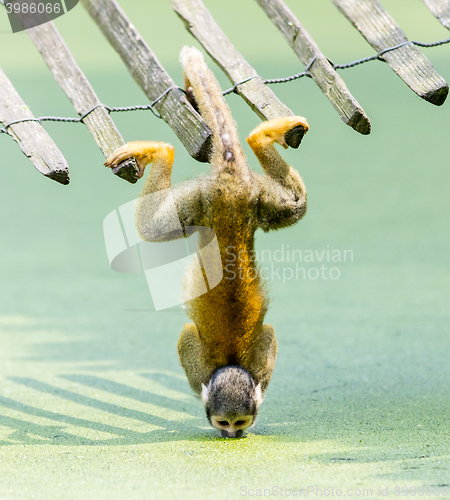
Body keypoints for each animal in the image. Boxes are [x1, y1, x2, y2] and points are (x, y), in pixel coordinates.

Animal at [105, 47, 310, 438]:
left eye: (239, 422)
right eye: (223, 422)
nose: (233, 435)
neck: (229, 363)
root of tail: (231, 181)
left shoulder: (253, 364)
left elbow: (267, 332)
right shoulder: (201, 363)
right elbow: (188, 335)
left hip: (237, 199)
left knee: (294, 207)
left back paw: (251, 139)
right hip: (213, 198)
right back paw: (172, 149)